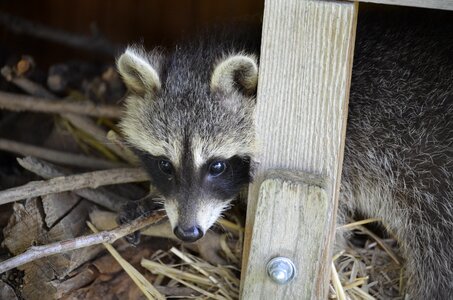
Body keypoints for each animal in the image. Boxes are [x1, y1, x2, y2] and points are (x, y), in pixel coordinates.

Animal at [117, 11, 452, 298]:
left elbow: (334, 232)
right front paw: (149, 199)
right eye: (164, 165)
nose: (187, 232)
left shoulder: (349, 158)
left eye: (217, 166)